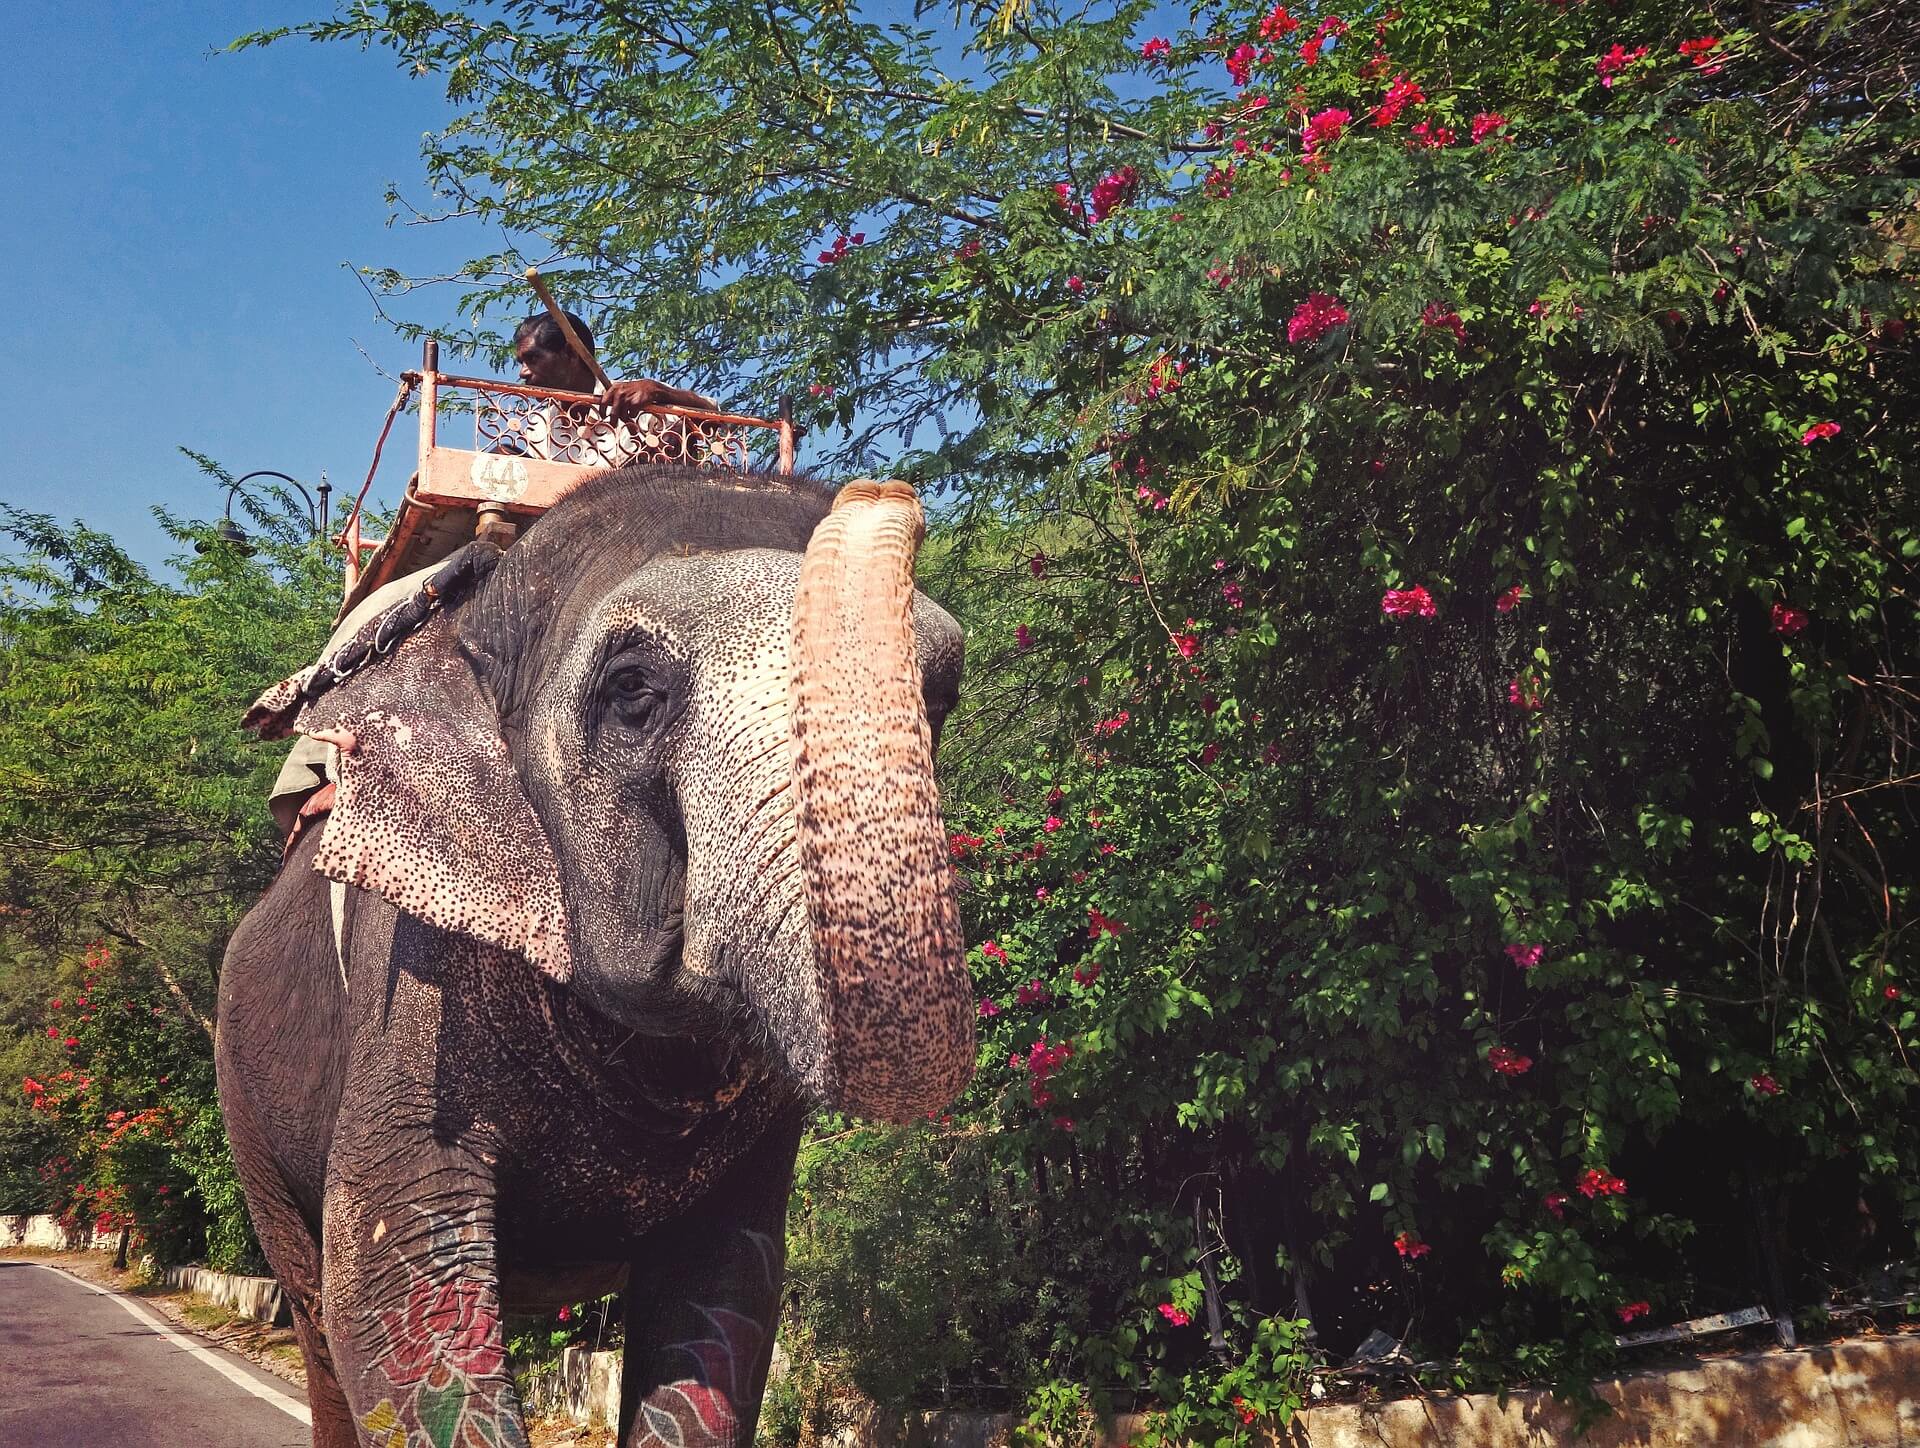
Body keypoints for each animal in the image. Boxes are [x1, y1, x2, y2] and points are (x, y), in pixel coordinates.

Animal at [214, 470, 975, 1444]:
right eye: (631, 689)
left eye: (940, 692)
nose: (882, 488)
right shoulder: (412, 986)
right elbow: (391, 1282)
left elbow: (724, 1303)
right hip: (250, 1110)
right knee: (314, 1309)